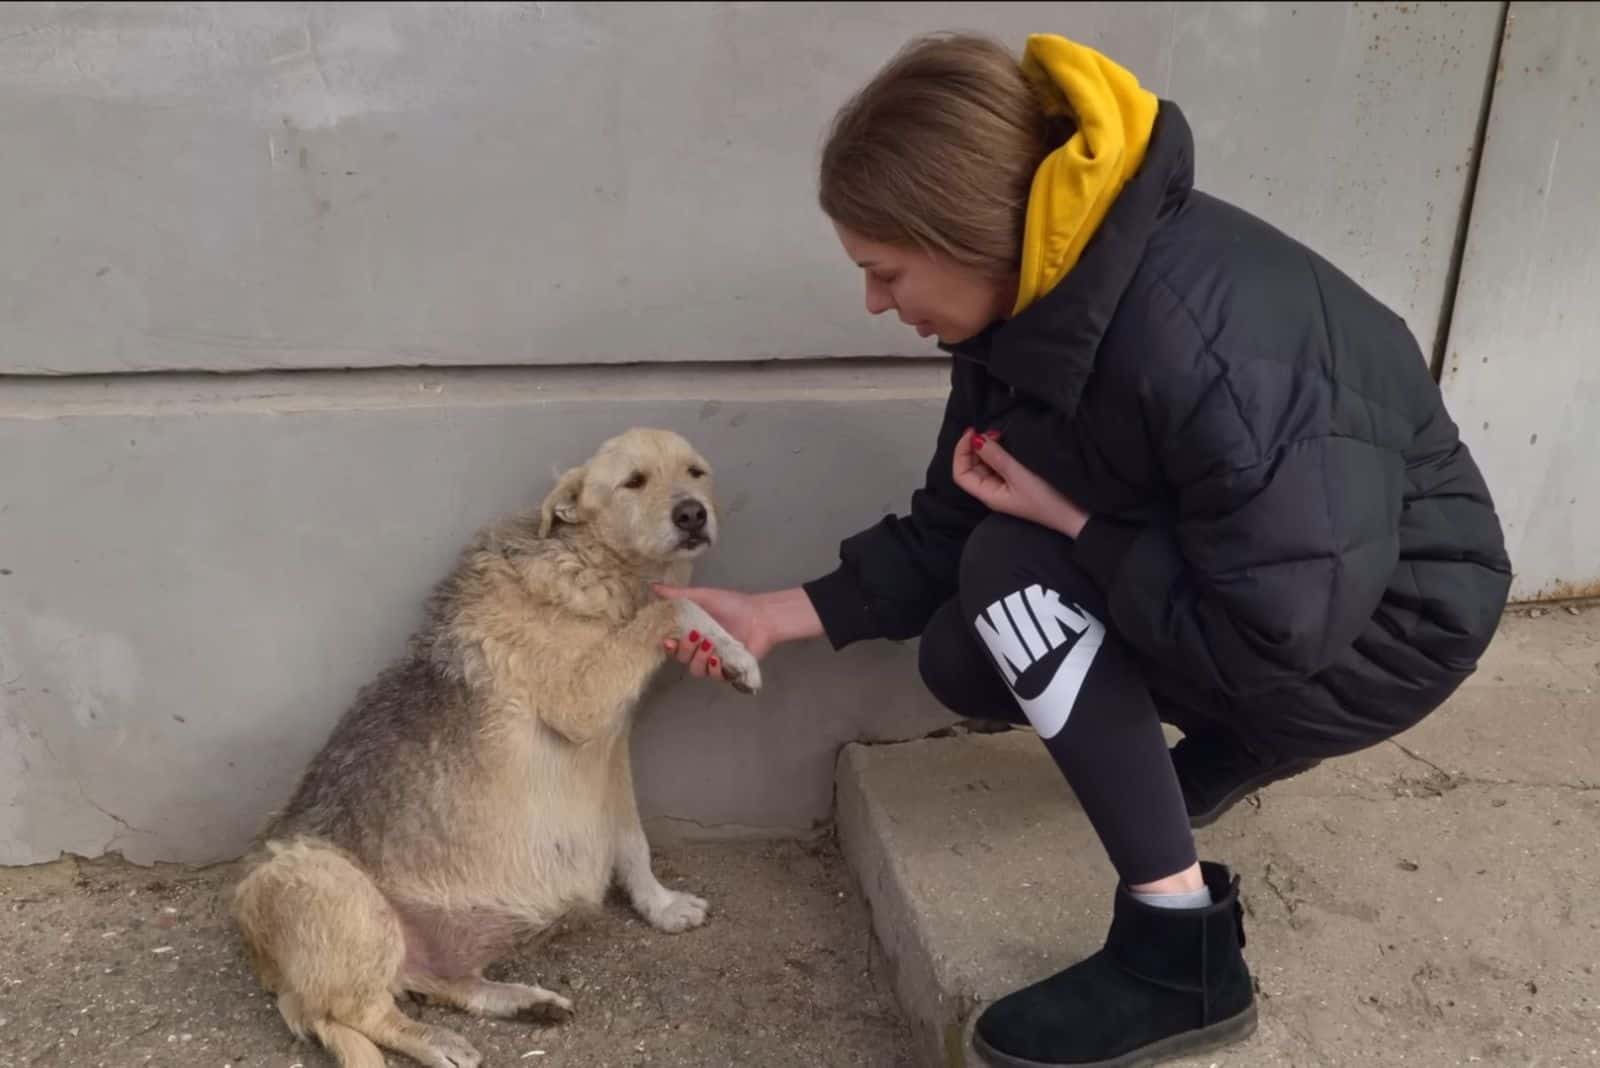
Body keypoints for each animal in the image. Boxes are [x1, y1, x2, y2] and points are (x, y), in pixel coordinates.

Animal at [232, 428, 761, 1068]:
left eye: (696, 472)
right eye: (633, 481)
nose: (692, 513)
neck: (591, 564)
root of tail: (271, 970)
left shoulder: (611, 751)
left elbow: (633, 842)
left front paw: (659, 906)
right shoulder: (582, 704)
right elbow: (675, 605)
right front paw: (737, 648)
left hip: (421, 945)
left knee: (433, 982)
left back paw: (520, 1001)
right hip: (335, 891)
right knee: (357, 1014)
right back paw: (437, 1042)